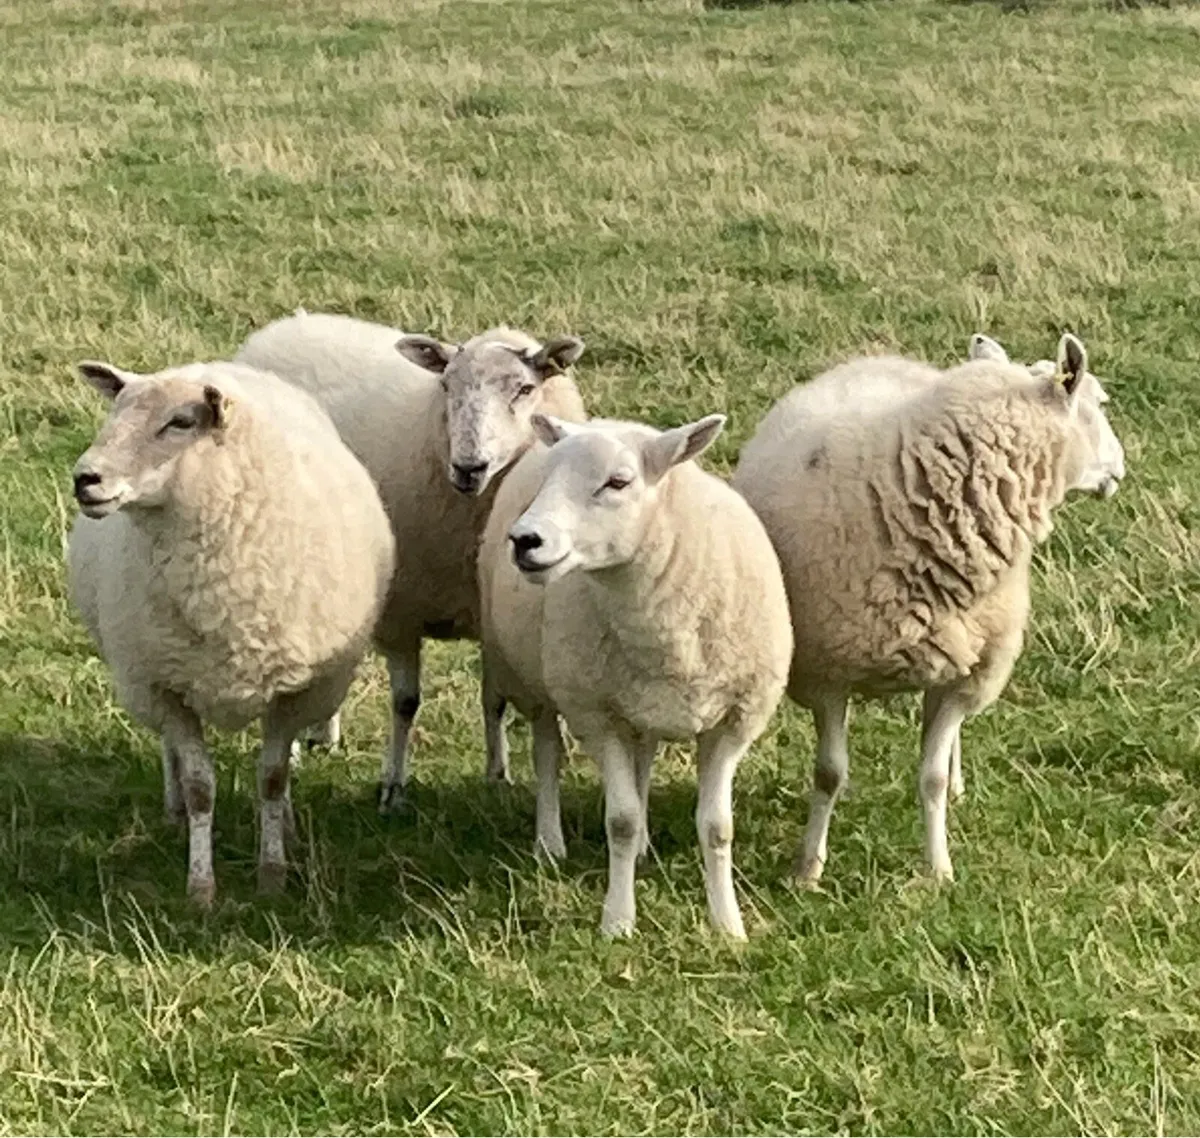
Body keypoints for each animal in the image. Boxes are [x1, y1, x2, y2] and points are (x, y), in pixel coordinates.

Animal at [67, 359, 395, 904]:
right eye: (114, 411)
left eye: (180, 422)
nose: (86, 479)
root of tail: (217, 365)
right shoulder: (165, 683)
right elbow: (200, 785)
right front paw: (201, 887)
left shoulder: (296, 690)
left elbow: (273, 778)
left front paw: (272, 872)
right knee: (172, 753)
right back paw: (175, 810)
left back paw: (287, 827)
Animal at [234, 311, 586, 811]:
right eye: (446, 386)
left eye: (524, 389)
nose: (469, 467)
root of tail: (283, 326)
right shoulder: (402, 613)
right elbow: (406, 703)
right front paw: (393, 787)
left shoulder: (490, 618)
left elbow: (493, 699)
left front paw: (498, 775)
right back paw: (296, 749)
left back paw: (323, 732)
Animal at [481, 413, 793, 937]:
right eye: (549, 478)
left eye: (619, 482)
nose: (524, 540)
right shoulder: (596, 714)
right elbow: (620, 821)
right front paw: (618, 922)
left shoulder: (737, 719)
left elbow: (718, 827)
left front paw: (728, 926)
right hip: (537, 678)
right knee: (547, 753)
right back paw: (549, 842)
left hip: (638, 699)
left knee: (642, 753)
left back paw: (645, 845)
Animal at [732, 333, 1125, 886]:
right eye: (1099, 402)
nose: (1121, 467)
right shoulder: (827, 672)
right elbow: (828, 774)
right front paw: (808, 868)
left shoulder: (969, 671)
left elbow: (932, 776)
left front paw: (938, 868)